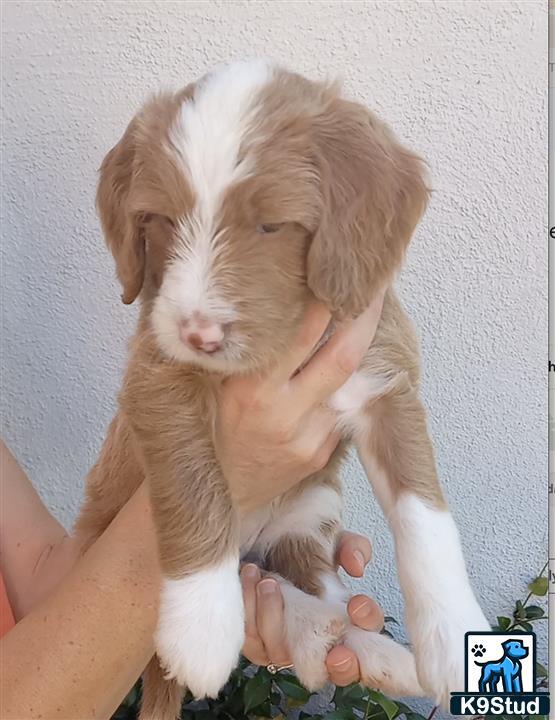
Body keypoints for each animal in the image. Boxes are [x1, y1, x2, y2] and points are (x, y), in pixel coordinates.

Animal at [75, 60, 490, 720]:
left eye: (271, 225)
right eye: (160, 220)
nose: (198, 334)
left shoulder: (385, 381)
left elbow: (424, 515)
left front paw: (452, 637)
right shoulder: (156, 371)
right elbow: (194, 482)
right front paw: (200, 626)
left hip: (307, 512)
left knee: (295, 579)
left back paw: (373, 651)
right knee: (263, 591)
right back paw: (313, 631)